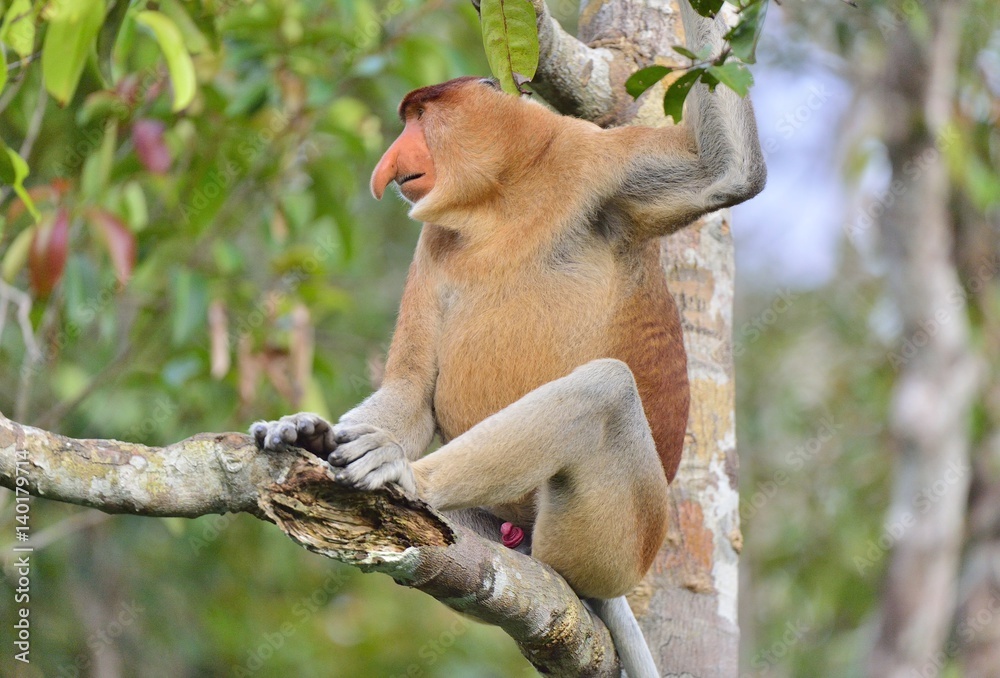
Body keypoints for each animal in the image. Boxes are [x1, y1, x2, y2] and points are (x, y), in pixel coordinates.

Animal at [252, 1, 765, 675]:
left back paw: (407, 478)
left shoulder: (599, 164)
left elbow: (727, 176)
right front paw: (303, 428)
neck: (504, 196)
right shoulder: (434, 241)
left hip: (622, 539)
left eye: (422, 117)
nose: (389, 164)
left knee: (604, 390)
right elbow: (411, 389)